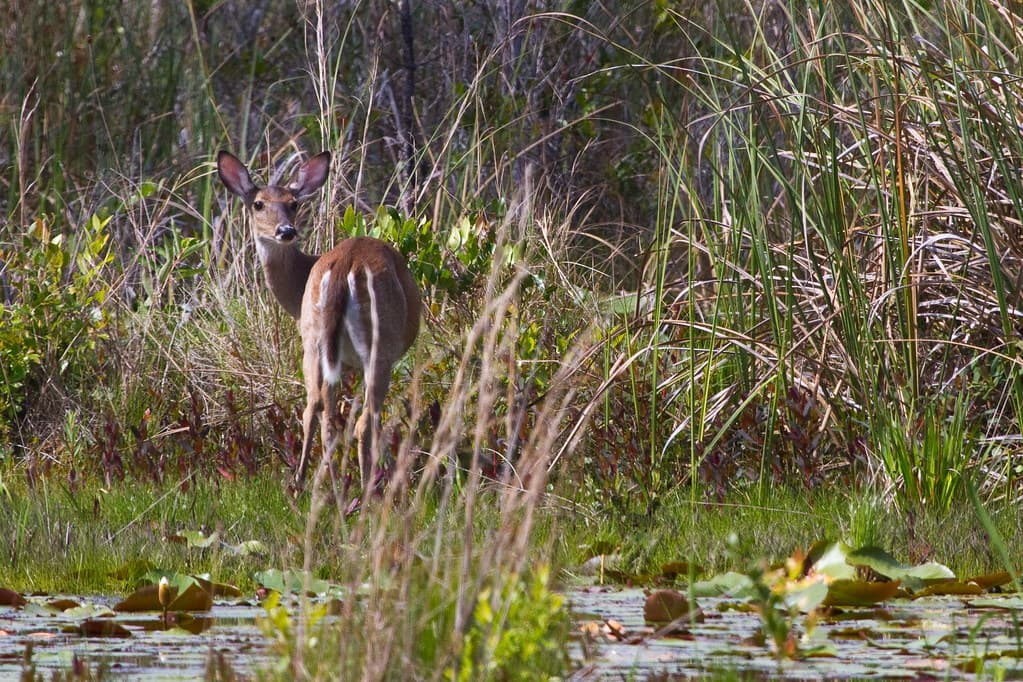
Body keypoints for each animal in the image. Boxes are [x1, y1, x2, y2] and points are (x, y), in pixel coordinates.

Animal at [216, 150, 421, 491]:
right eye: (258, 203)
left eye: (293, 203)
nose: (285, 231)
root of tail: (344, 267)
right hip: (378, 344)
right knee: (364, 420)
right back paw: (368, 488)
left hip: (314, 341)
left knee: (315, 411)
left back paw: (306, 485)